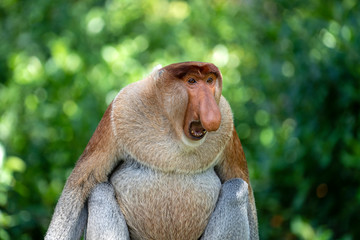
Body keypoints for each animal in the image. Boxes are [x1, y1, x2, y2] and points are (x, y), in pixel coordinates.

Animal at [45, 62, 258, 240]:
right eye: (191, 81)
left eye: (209, 81)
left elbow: (240, 180)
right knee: (99, 190)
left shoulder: (227, 122)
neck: (173, 130)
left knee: (237, 188)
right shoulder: (119, 111)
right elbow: (82, 183)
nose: (212, 114)